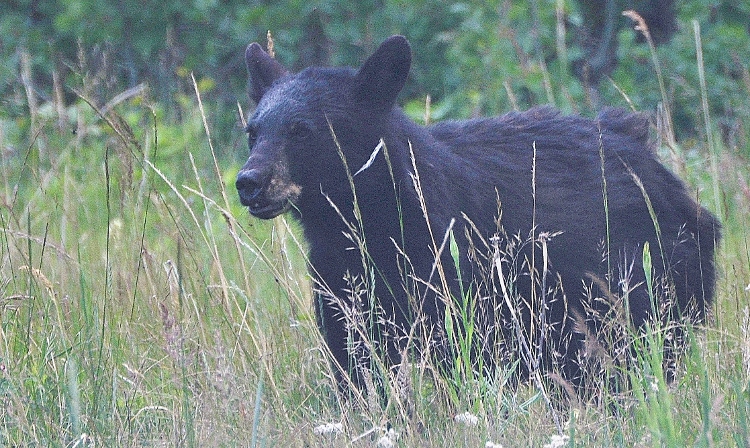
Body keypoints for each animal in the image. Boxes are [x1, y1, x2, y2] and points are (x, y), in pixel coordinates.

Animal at [236, 36, 724, 396]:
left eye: (302, 130)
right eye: (253, 131)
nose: (249, 182)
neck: (363, 223)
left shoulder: (457, 269)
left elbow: (467, 354)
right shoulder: (340, 281)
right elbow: (356, 363)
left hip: (642, 278)